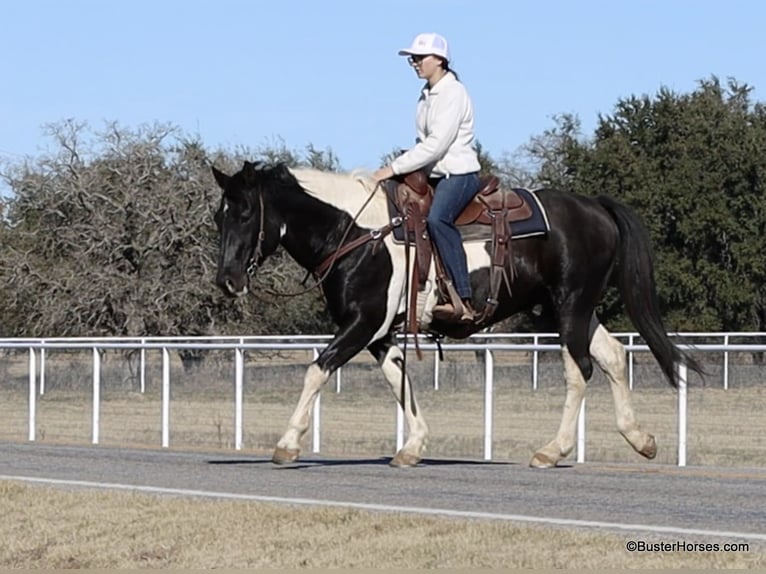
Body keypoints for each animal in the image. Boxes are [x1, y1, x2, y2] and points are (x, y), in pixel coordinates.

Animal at [212, 160, 702, 468]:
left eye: (245, 212)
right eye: (219, 218)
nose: (226, 279)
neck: (356, 232)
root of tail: (595, 206)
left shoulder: (362, 323)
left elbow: (317, 369)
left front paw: (287, 443)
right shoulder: (381, 334)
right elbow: (399, 382)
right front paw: (413, 446)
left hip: (570, 305)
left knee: (579, 369)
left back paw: (552, 451)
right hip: (569, 309)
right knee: (613, 356)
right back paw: (641, 439)